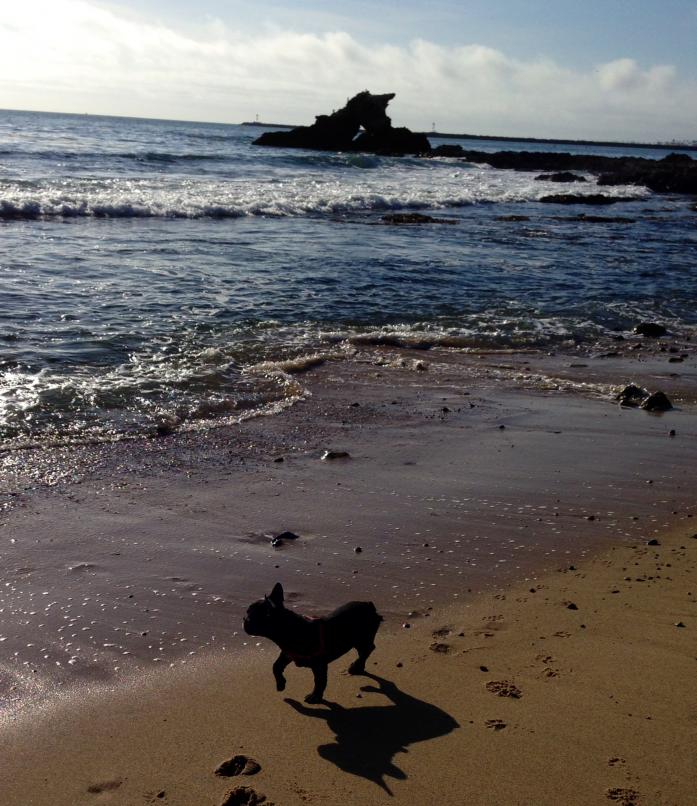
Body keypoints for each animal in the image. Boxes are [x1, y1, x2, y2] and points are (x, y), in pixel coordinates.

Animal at [243, 584, 380, 704]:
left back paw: (356, 667)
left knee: (366, 650)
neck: (289, 629)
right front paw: (281, 684)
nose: (245, 620)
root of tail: (370, 605)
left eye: (254, 616)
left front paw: (315, 697)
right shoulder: (287, 654)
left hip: (362, 639)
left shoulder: (319, 664)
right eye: (247, 612)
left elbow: (319, 681)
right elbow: (276, 666)